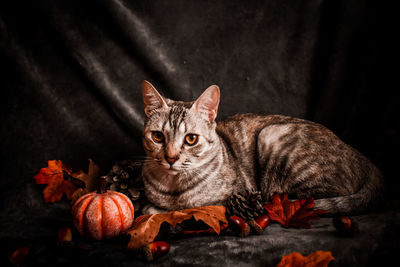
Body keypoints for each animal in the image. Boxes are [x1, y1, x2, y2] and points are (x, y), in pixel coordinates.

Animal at [141, 80, 384, 216]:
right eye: (158, 136)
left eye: (191, 139)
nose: (171, 157)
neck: (173, 188)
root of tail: (358, 154)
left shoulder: (230, 197)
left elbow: (190, 207)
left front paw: (157, 209)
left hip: (272, 135)